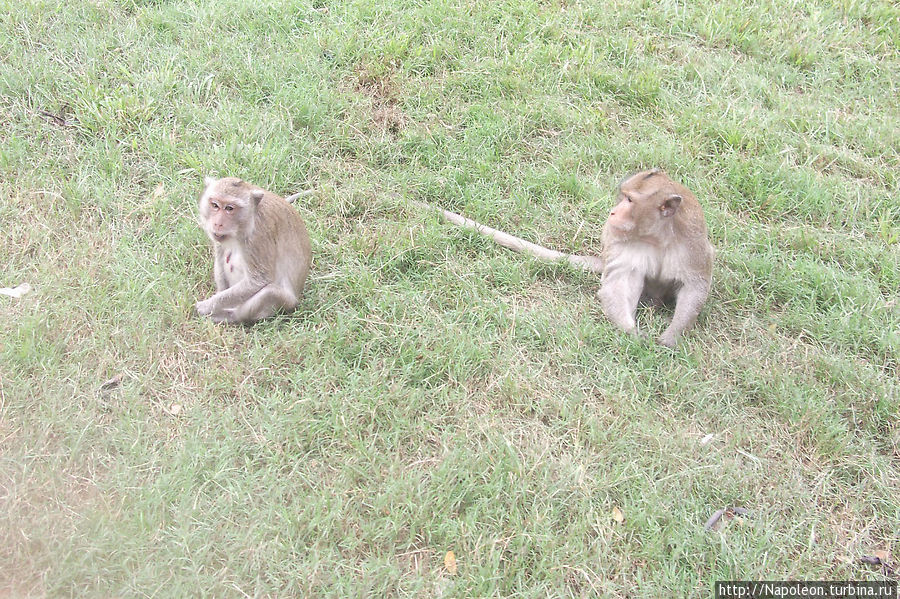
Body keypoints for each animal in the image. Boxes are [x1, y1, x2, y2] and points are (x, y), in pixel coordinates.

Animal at [195, 176, 312, 326]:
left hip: (286, 302)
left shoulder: (258, 236)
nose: (218, 224)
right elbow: (220, 260)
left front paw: (206, 306)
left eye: (229, 208)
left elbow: (259, 280)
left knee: (270, 292)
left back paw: (231, 317)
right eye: (215, 205)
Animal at [412, 169, 712, 346]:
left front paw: (671, 336)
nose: (613, 212)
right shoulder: (621, 241)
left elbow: (695, 286)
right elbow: (621, 284)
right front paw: (633, 333)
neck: (655, 236)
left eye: (630, 201)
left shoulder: (692, 244)